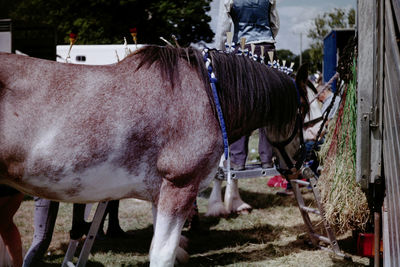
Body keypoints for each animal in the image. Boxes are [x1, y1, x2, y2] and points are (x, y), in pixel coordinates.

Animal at [0, 45, 310, 266]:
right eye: (304, 111)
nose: (302, 164)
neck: (208, 98)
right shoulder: (180, 185)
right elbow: (163, 254)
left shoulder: (160, 191)